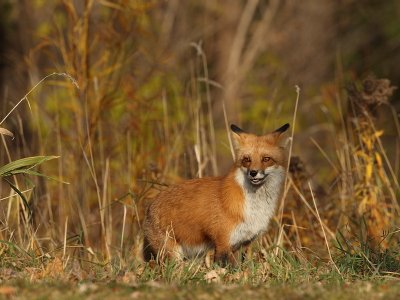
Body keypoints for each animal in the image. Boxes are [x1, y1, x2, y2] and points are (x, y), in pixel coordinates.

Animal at [144, 122, 290, 264]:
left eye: (266, 159)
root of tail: (150, 206)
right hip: (172, 254)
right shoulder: (222, 242)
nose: (253, 172)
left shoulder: (243, 243)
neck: (254, 208)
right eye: (247, 159)